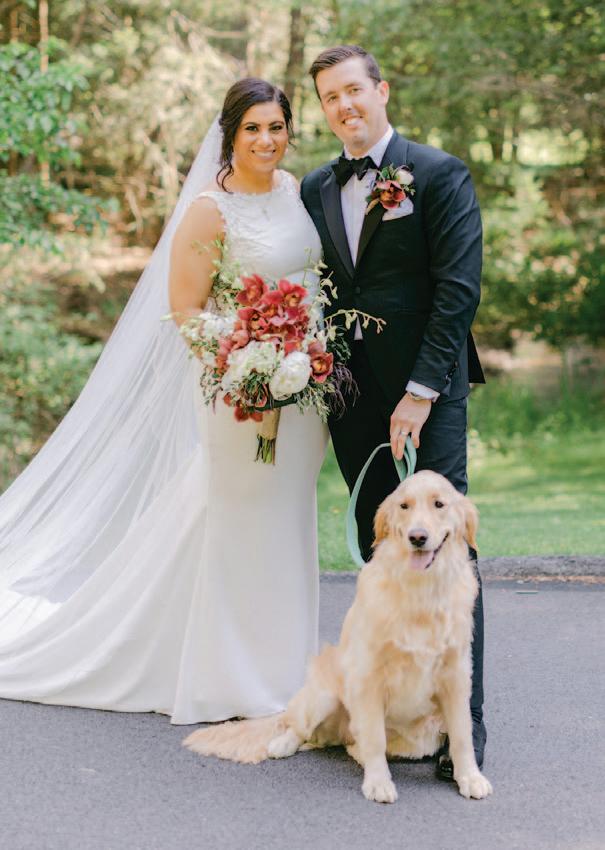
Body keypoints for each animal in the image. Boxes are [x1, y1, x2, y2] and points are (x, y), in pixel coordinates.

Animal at [184, 470, 493, 803]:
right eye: (404, 506)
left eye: (439, 504)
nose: (417, 537)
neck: (421, 591)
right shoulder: (368, 675)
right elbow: (374, 737)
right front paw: (378, 782)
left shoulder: (455, 677)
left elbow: (461, 736)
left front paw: (469, 777)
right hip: (324, 696)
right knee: (301, 728)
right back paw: (283, 743)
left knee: (346, 744)